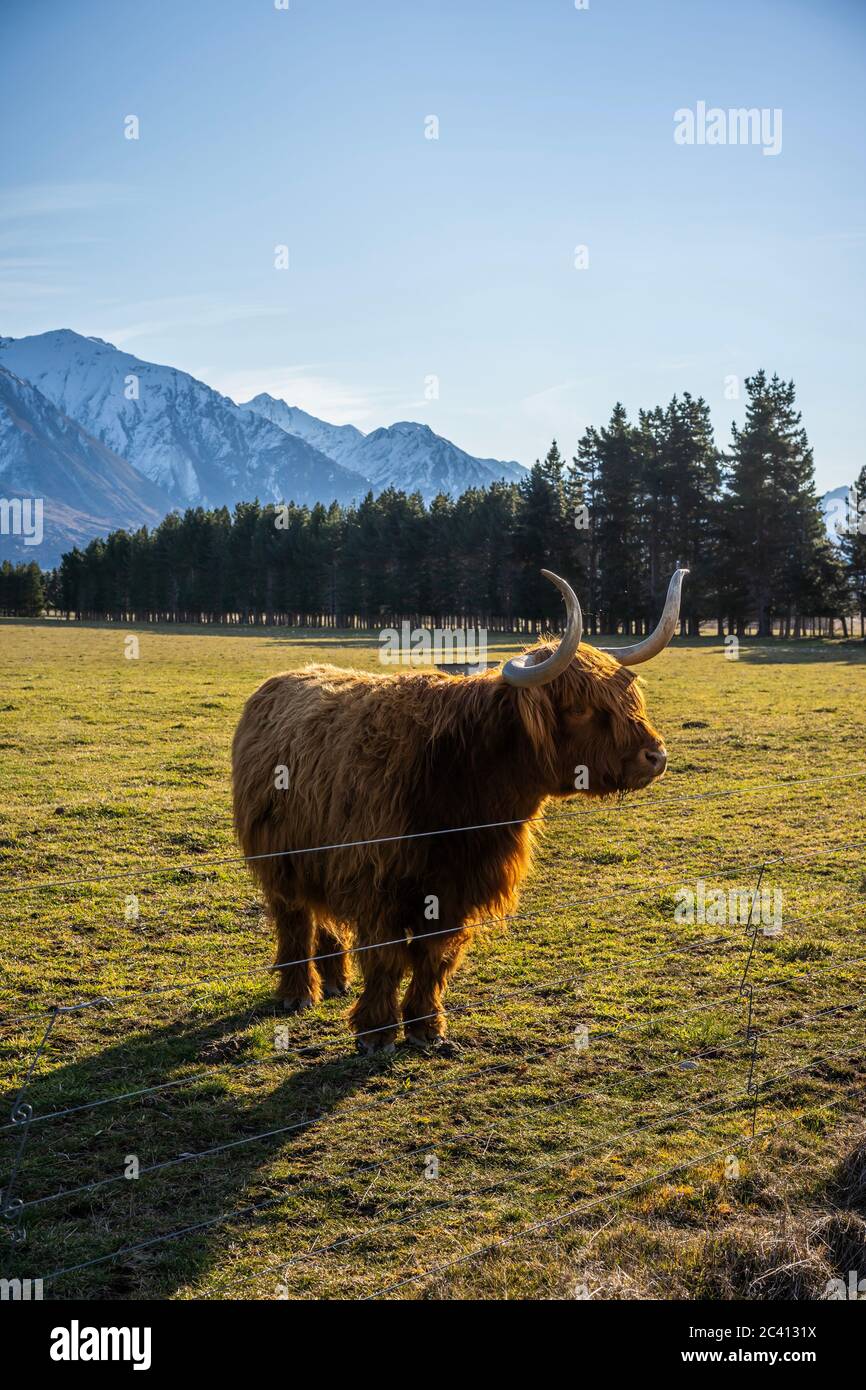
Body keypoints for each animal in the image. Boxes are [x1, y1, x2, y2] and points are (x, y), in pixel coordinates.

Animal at [232, 568, 687, 1053]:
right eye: (582, 708)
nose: (656, 756)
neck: (463, 780)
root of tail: (282, 680)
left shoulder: (458, 887)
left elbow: (436, 956)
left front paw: (426, 1026)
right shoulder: (378, 882)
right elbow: (386, 957)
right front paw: (377, 1031)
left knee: (325, 917)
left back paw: (336, 981)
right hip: (280, 858)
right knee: (295, 920)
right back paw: (297, 993)